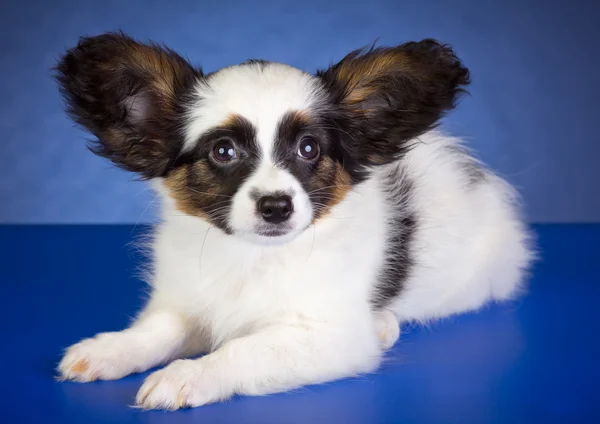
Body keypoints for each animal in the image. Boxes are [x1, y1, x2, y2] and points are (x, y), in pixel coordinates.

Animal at [55, 32, 536, 410]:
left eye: (309, 148)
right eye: (223, 151)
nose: (276, 206)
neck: (251, 256)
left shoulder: (332, 336)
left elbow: (245, 348)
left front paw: (186, 375)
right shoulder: (188, 301)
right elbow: (158, 330)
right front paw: (111, 348)